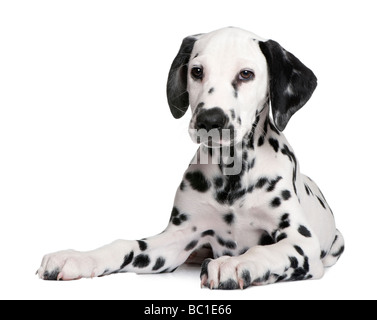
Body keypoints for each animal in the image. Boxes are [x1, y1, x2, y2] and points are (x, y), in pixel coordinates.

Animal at [38, 26, 344, 288]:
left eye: (246, 74)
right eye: (197, 71)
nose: (210, 120)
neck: (232, 175)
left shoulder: (300, 242)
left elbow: (264, 251)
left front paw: (235, 264)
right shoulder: (176, 238)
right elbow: (127, 244)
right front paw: (79, 257)